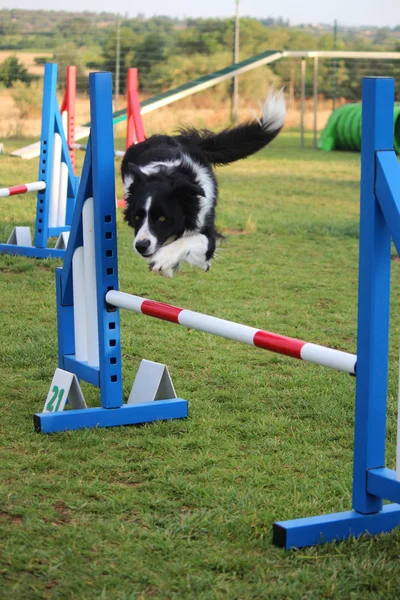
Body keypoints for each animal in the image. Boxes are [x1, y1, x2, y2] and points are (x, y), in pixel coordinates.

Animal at [121, 87, 284, 278]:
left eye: (162, 218)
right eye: (137, 217)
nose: (141, 246)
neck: (166, 174)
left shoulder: (207, 232)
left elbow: (190, 241)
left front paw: (164, 259)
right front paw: (166, 264)